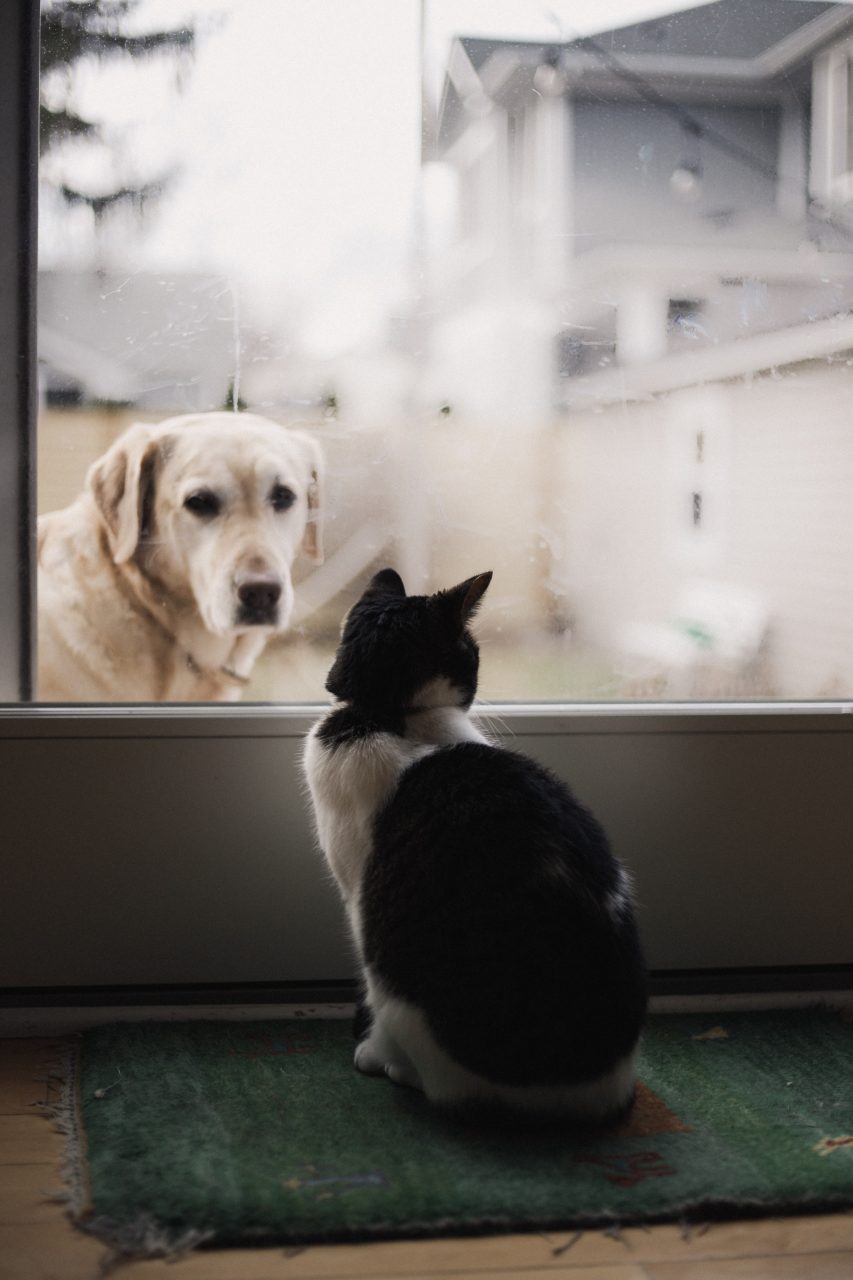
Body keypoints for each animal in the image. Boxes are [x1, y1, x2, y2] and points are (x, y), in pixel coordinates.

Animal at [302, 570, 640, 1121]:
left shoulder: (356, 894)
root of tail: (591, 1095)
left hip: (395, 972)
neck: (392, 713)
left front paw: (372, 1052)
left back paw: (396, 1067)